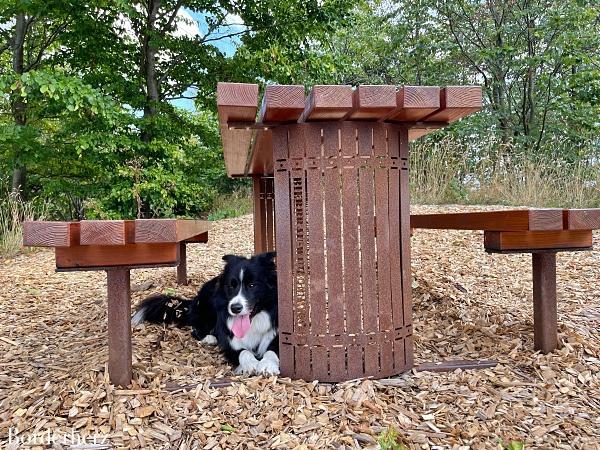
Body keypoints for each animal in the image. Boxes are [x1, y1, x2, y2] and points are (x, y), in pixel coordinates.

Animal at [131, 253, 278, 376]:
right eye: (231, 286)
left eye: (252, 285)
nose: (235, 308)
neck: (255, 322)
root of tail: (193, 302)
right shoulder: (230, 343)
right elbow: (244, 352)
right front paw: (251, 364)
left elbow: (271, 351)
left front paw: (268, 366)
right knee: (195, 329)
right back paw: (210, 338)